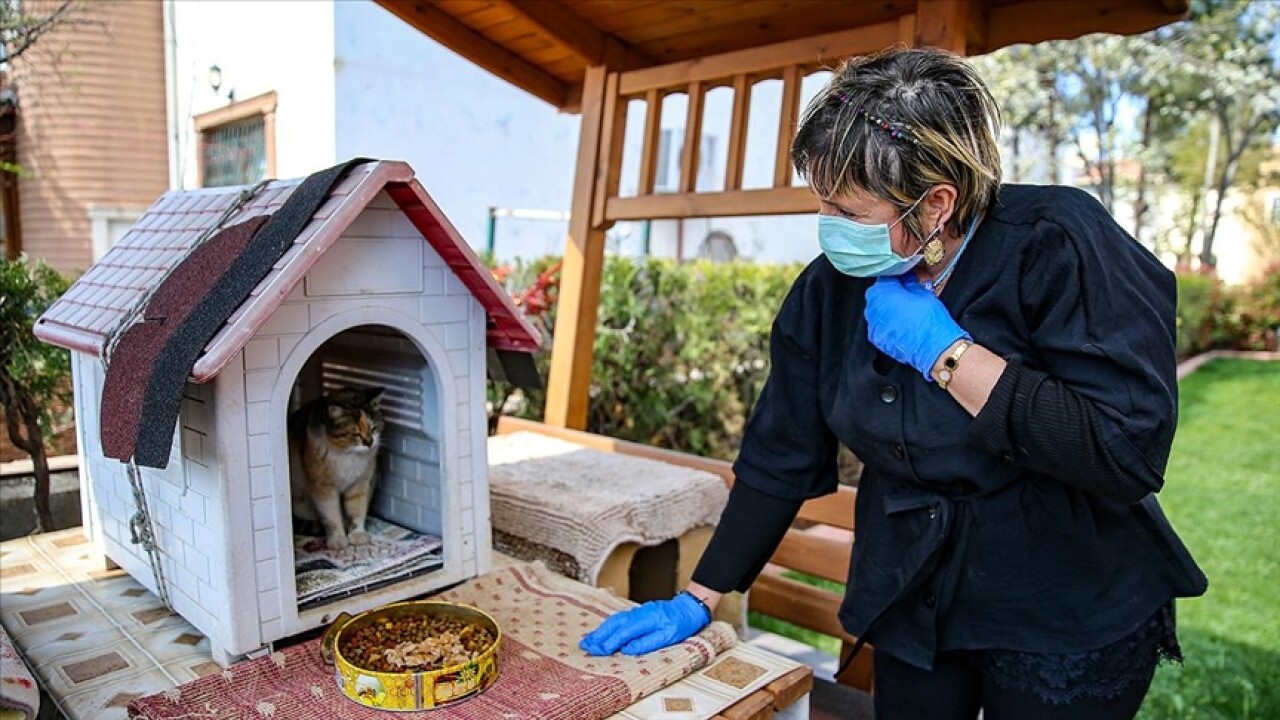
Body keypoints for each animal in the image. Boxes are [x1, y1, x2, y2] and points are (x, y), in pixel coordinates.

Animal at [290, 386, 384, 548]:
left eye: (373, 428)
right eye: (355, 433)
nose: (370, 443)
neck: (348, 455)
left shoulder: (360, 484)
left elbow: (357, 510)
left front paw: (357, 535)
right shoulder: (323, 488)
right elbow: (332, 516)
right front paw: (338, 540)